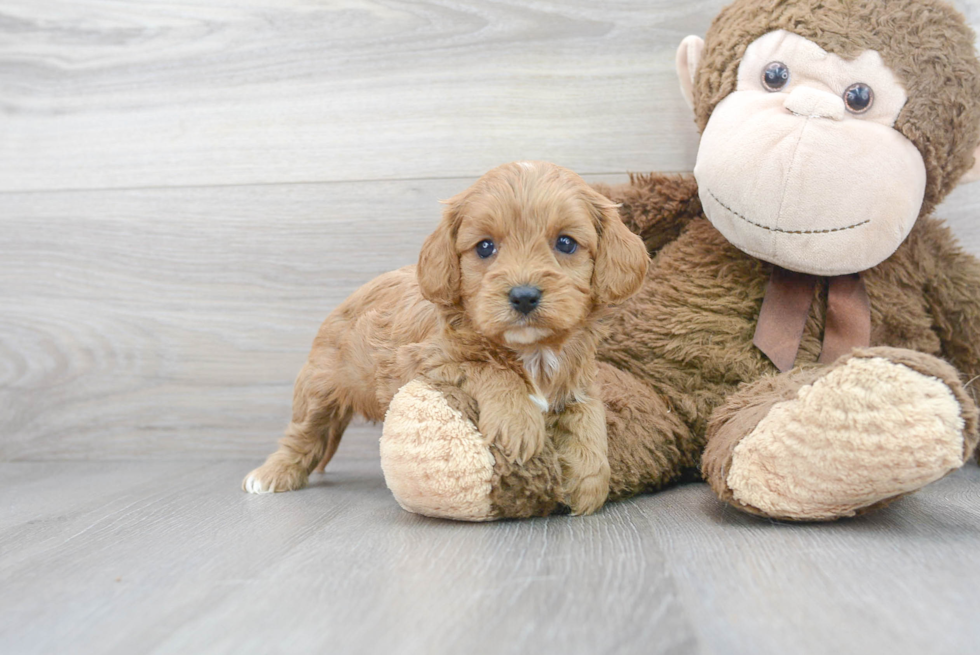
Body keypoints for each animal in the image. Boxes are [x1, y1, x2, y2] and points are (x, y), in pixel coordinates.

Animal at [241, 161, 648, 516]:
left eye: (566, 243)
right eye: (485, 247)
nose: (524, 296)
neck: (532, 350)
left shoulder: (578, 379)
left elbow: (589, 416)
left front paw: (590, 481)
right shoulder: (424, 360)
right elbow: (488, 368)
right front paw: (518, 423)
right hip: (318, 386)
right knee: (303, 435)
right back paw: (271, 475)